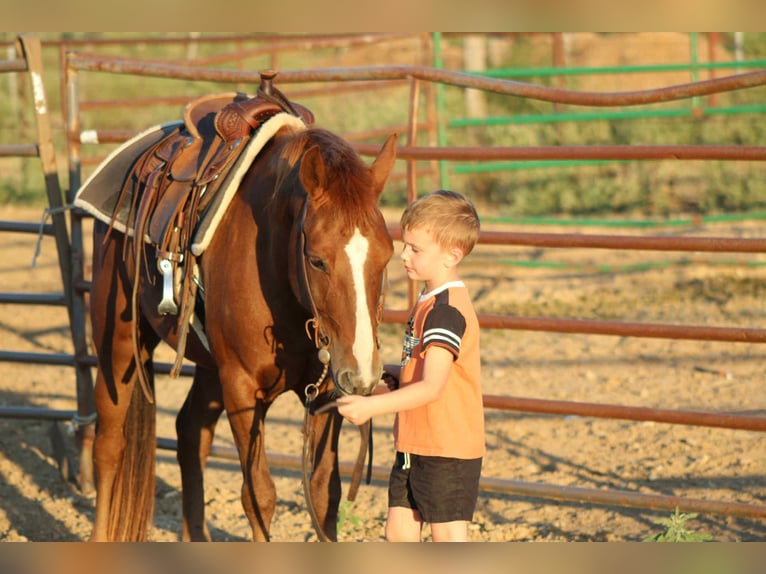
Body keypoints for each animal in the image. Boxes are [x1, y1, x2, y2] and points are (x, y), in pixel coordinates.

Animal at [78, 81, 397, 541]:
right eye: (317, 260)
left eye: (388, 255)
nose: (363, 374)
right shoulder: (242, 388)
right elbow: (259, 496)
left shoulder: (326, 391)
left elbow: (325, 495)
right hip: (118, 341)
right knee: (109, 444)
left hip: (210, 364)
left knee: (189, 432)